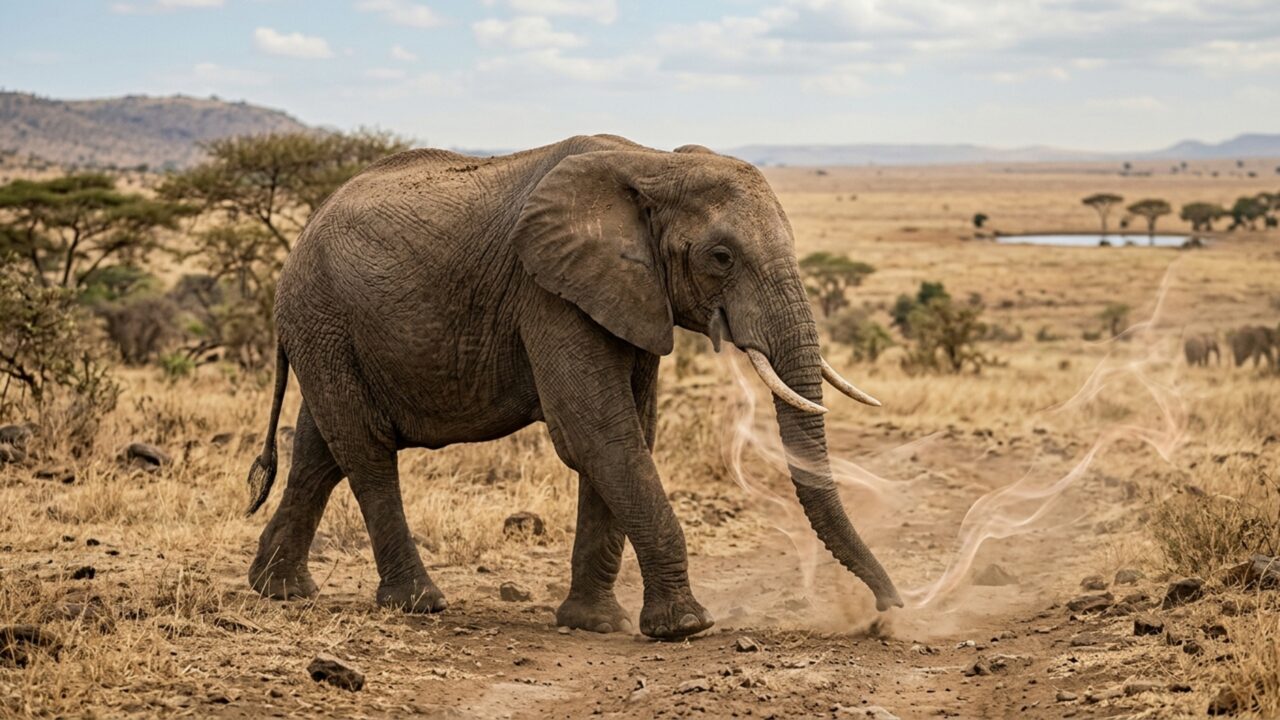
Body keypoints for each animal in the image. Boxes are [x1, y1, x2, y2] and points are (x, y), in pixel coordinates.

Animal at [243, 135, 902, 640]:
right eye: (721, 257)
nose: (889, 610)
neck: (652, 162)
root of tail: (305, 231)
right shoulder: (547, 293)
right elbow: (599, 434)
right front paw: (684, 628)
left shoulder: (629, 296)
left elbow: (628, 433)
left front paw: (595, 624)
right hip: (322, 317)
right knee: (367, 451)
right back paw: (419, 604)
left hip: (330, 331)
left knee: (321, 451)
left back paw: (280, 590)